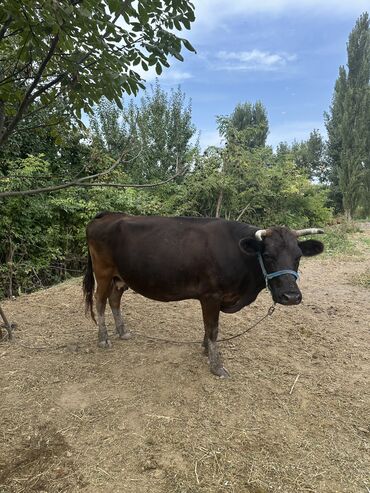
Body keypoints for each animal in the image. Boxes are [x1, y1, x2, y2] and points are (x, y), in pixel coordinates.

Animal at [81, 211, 324, 376]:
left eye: (298, 256)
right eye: (268, 255)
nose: (291, 297)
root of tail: (109, 215)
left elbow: (209, 328)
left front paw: (206, 350)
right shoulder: (211, 295)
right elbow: (213, 328)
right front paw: (216, 365)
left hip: (121, 277)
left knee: (114, 299)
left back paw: (123, 332)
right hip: (103, 272)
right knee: (100, 301)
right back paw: (103, 339)